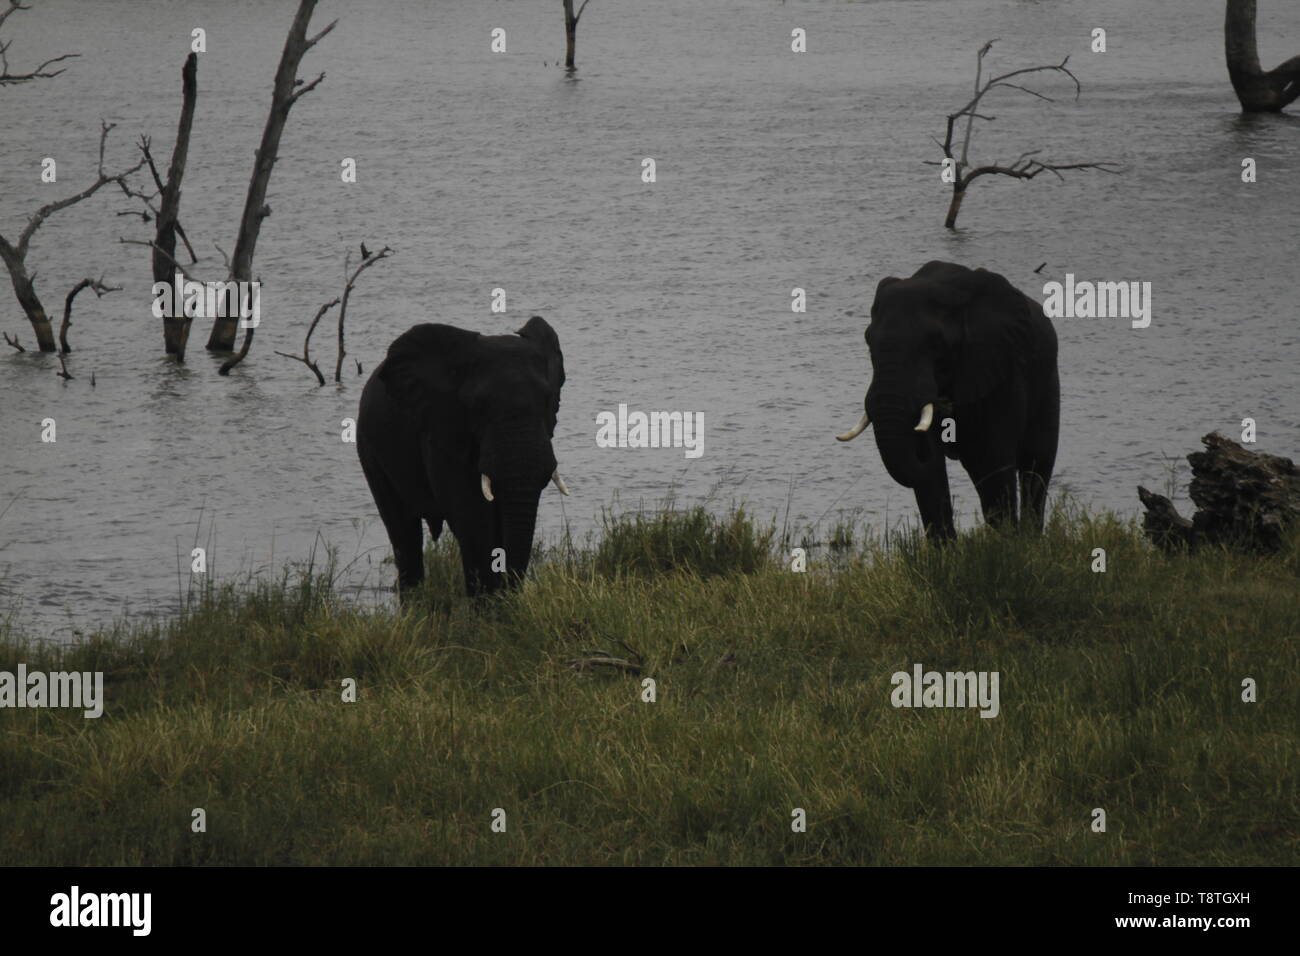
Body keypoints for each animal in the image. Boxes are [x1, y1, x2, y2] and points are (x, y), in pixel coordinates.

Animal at [364, 317, 572, 595]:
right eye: (477, 406)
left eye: (548, 399)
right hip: (370, 452)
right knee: (403, 533)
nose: (511, 592)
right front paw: (489, 605)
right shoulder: (442, 432)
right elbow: (473, 519)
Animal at [837, 261, 1060, 541]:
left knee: (1036, 464)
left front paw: (1007, 544)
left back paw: (1030, 538)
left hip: (1048, 379)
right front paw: (946, 551)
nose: (944, 406)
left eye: (937, 343)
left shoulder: (1001, 368)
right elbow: (932, 476)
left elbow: (994, 460)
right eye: (868, 340)